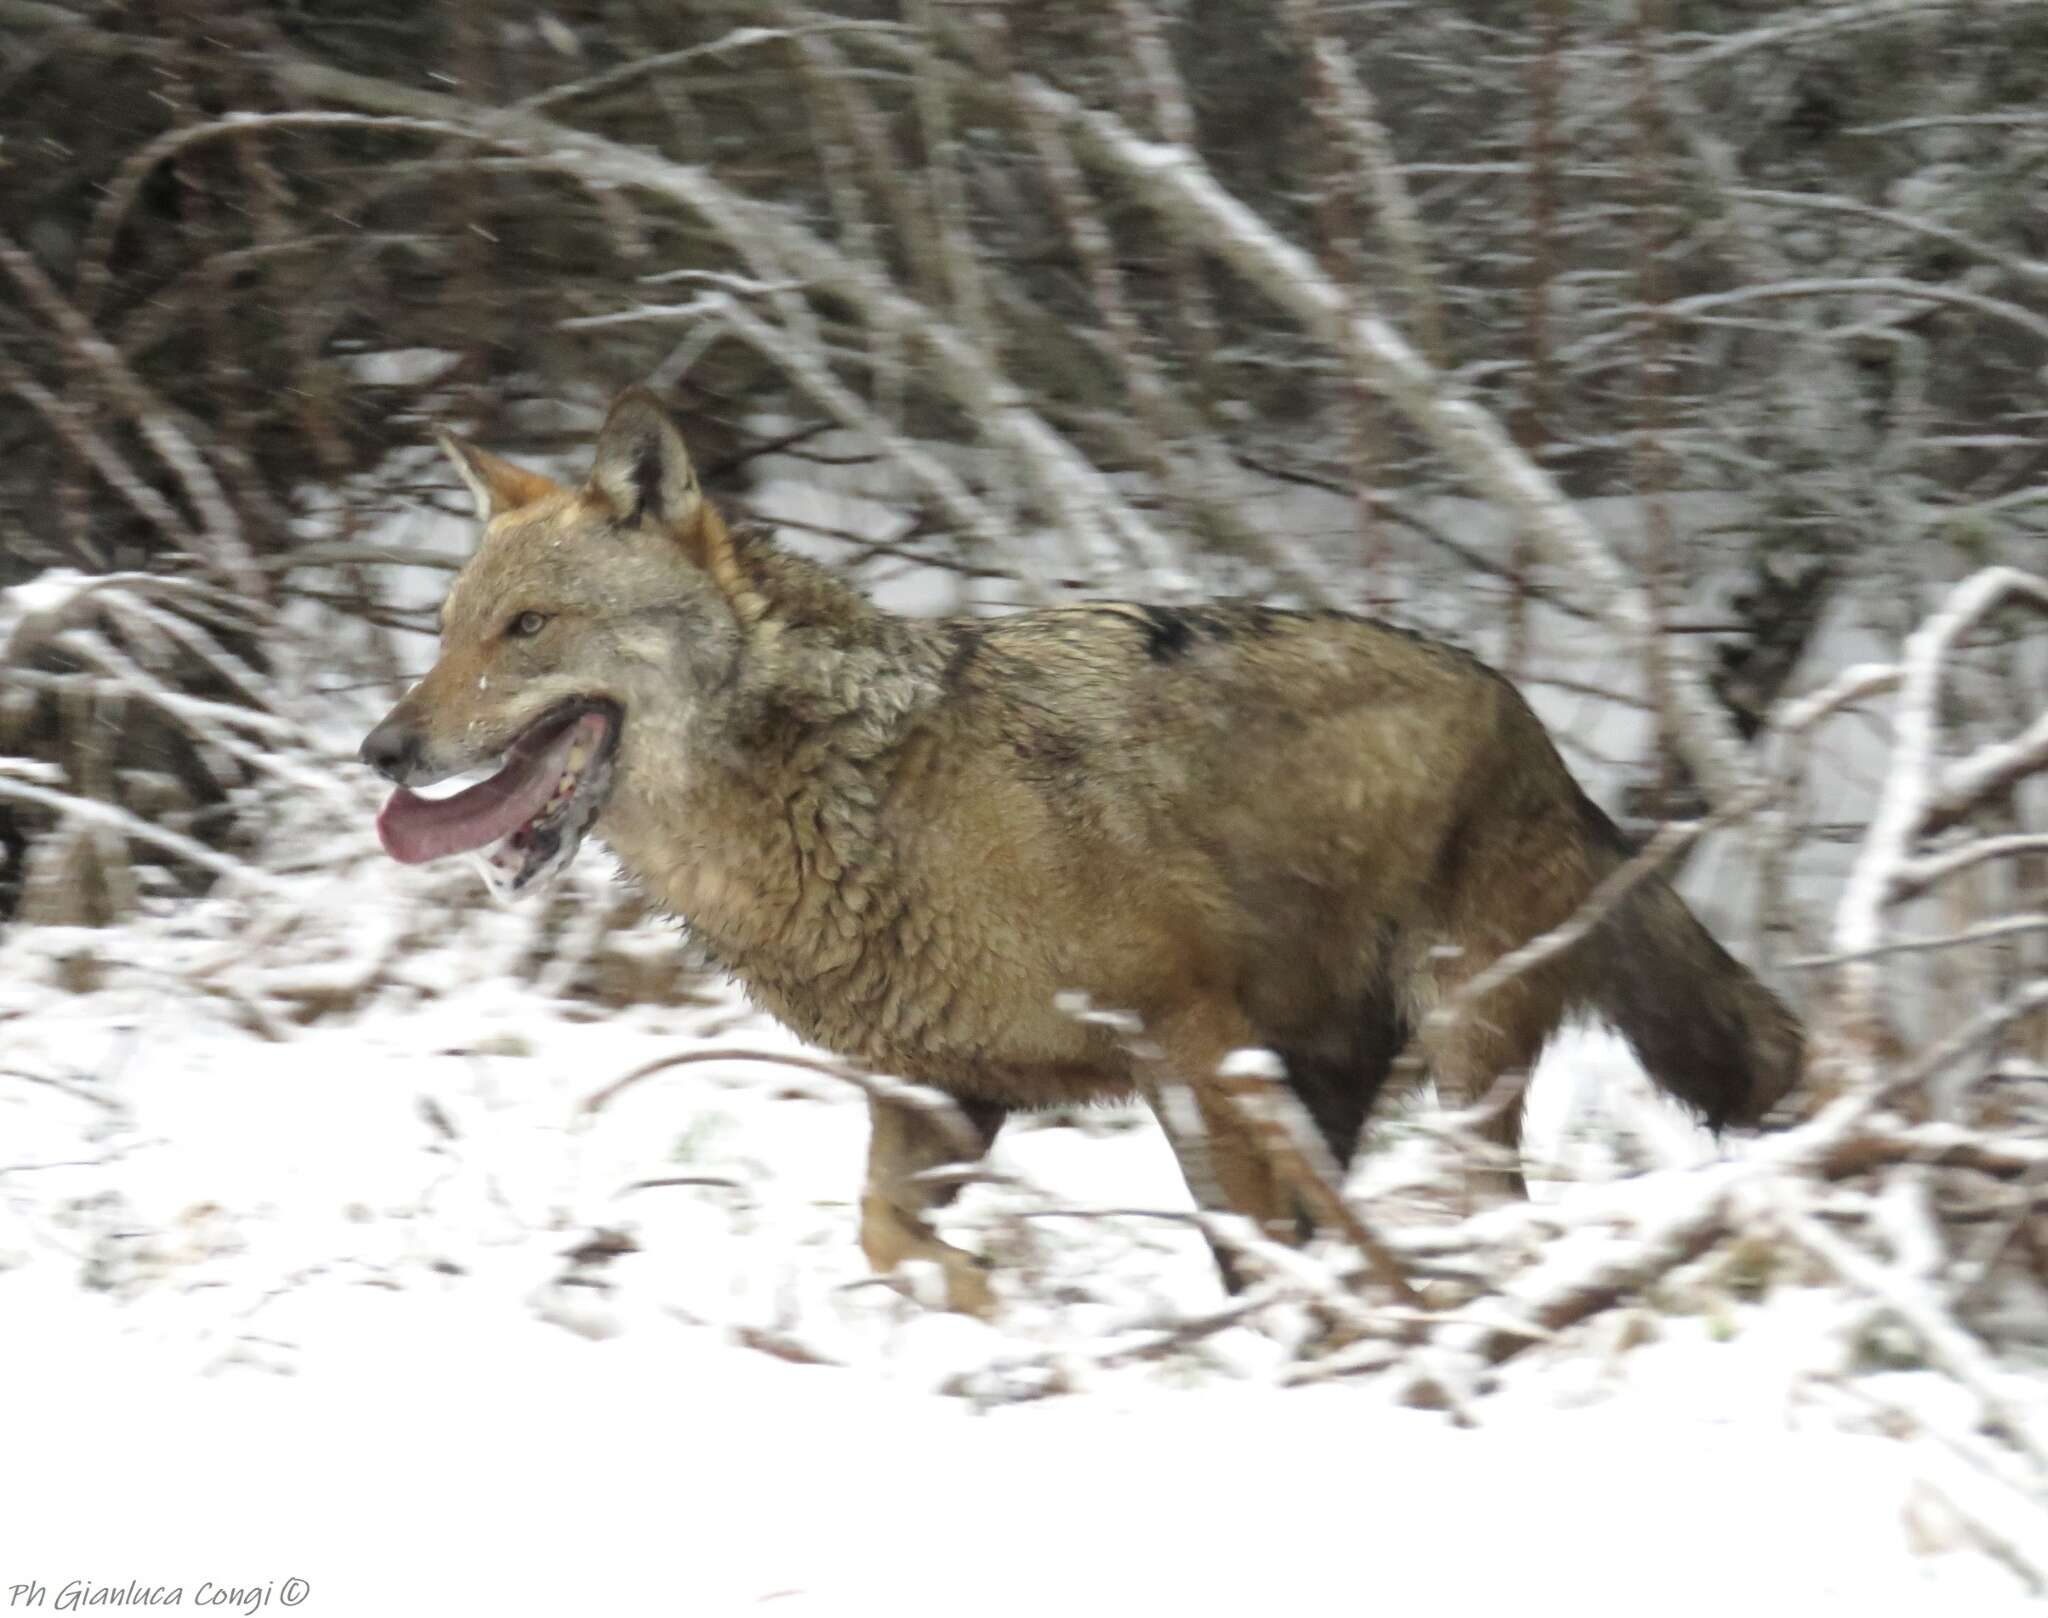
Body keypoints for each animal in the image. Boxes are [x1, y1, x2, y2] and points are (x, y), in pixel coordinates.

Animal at [360, 393, 1802, 1318]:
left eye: (529, 628)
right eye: (446, 631)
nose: (383, 747)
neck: (857, 801)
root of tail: (1541, 732)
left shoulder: (1190, 1043)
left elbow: (1253, 1254)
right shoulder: (933, 1091)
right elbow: (882, 1236)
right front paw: (988, 1308)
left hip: (1448, 1056)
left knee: (1479, 1210)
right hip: (1322, 1082)